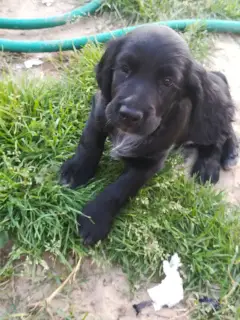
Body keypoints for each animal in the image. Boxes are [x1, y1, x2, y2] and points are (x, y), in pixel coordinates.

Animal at [60, 25, 238, 245]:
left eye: (167, 82)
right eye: (125, 69)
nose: (129, 114)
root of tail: (216, 77)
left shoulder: (149, 162)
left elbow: (120, 188)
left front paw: (95, 218)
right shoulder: (101, 108)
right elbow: (89, 142)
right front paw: (75, 170)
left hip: (207, 119)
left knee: (220, 134)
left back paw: (211, 165)